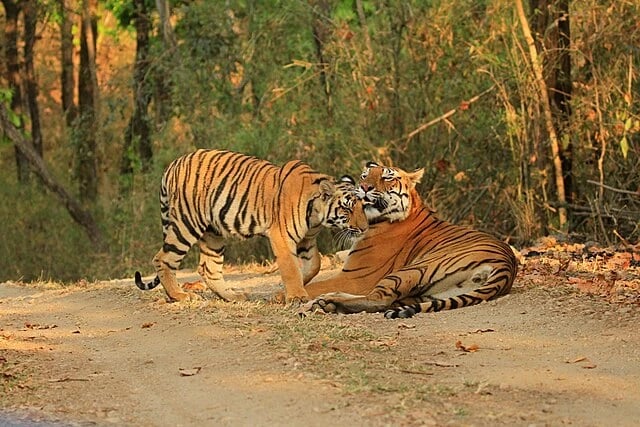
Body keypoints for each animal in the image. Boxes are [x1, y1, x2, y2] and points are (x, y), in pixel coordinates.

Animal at [134, 149, 368, 303]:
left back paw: (232, 295)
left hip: (213, 233)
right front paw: (297, 296)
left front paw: (285, 293)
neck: (316, 217)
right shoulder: (281, 236)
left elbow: (313, 266)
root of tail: (173, 164)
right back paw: (180, 295)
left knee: (208, 267)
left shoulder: (307, 240)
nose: (364, 228)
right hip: (186, 224)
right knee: (163, 259)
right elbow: (291, 268)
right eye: (347, 209)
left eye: (363, 206)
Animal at [303, 161, 518, 318]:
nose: (363, 187)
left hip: (412, 270)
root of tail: (507, 266)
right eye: (365, 176)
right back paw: (327, 303)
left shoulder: (356, 277)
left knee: (379, 299)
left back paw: (329, 302)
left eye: (387, 177)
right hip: (430, 291)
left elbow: (312, 286)